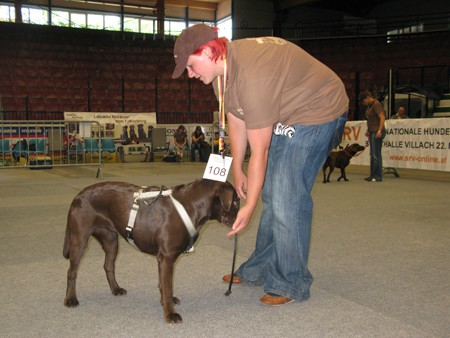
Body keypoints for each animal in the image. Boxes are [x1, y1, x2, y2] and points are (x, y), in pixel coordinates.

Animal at [64, 178, 239, 324]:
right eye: (236, 202)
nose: (241, 219)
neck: (190, 207)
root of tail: (78, 195)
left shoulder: (163, 258)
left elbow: (163, 284)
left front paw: (166, 302)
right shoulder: (166, 257)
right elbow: (168, 286)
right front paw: (170, 314)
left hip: (111, 240)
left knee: (108, 266)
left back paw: (116, 289)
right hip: (80, 238)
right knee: (72, 271)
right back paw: (71, 299)